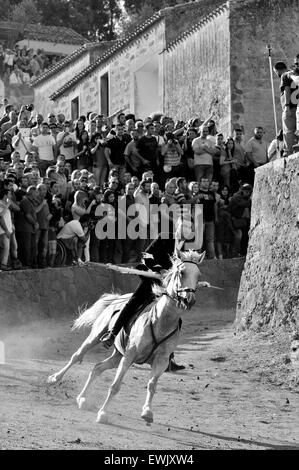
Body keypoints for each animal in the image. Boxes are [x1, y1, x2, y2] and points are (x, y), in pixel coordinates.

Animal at [48, 250, 206, 426]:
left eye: (198, 276)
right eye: (181, 272)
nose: (189, 300)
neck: (161, 320)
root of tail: (117, 298)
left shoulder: (161, 360)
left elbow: (152, 386)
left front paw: (147, 412)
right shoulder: (130, 355)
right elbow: (115, 386)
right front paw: (103, 413)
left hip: (118, 355)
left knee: (97, 367)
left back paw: (82, 398)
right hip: (96, 337)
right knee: (77, 356)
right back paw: (55, 378)